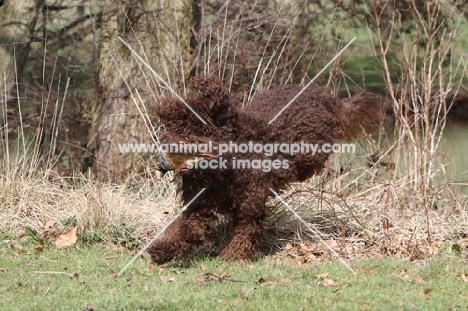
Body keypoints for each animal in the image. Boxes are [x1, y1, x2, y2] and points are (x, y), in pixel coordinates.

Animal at [148, 75, 382, 264]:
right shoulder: (198, 204)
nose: (167, 154)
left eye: (192, 129)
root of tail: (327, 97)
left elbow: (247, 228)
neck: (222, 172)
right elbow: (185, 228)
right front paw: (162, 250)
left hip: (312, 144)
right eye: (169, 130)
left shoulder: (252, 202)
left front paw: (233, 255)